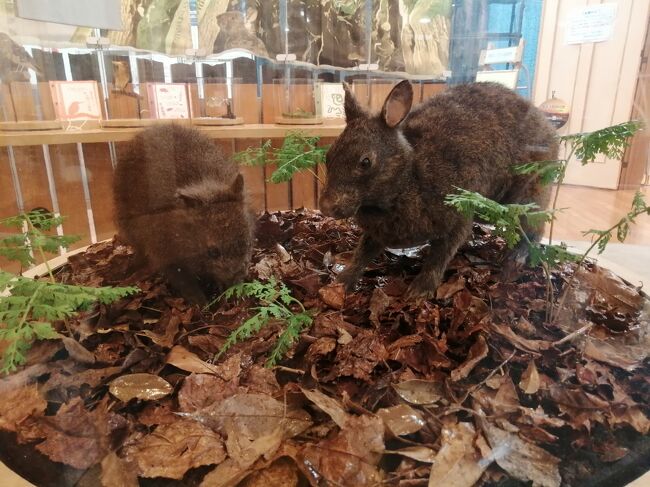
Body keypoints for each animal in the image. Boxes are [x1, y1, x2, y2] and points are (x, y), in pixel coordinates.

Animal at [112, 125, 254, 304]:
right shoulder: (167, 258)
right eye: (213, 252)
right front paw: (200, 302)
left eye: (247, 243)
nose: (236, 280)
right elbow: (185, 282)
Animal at [318, 81, 556, 298]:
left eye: (365, 162)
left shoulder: (457, 220)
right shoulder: (375, 235)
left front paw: (419, 291)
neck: (407, 179)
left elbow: (438, 259)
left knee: (534, 228)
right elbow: (362, 254)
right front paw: (341, 282)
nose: (326, 207)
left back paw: (517, 257)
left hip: (527, 196)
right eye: (328, 156)